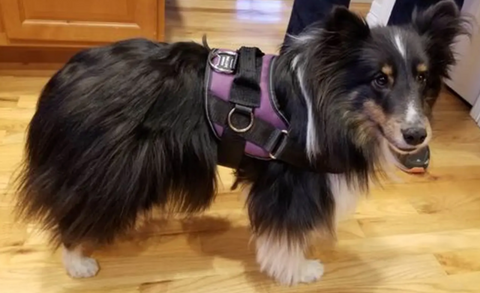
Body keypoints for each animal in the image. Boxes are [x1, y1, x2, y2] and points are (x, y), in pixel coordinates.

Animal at [13, 0, 466, 286]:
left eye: (423, 77)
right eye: (379, 80)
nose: (417, 135)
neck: (331, 100)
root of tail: (63, 76)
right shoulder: (289, 179)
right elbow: (285, 233)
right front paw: (299, 271)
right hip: (111, 170)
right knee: (73, 211)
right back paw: (79, 262)